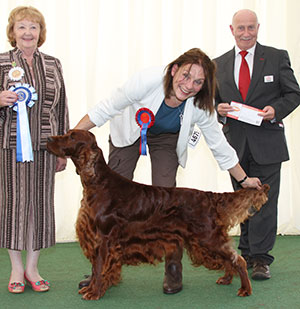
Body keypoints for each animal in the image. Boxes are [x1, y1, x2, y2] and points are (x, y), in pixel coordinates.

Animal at [47, 129, 270, 300]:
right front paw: (91, 288)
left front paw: (94, 293)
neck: (99, 183)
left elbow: (100, 268)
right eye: (67, 133)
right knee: (229, 259)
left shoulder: (104, 239)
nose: (48, 138)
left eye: (72, 136)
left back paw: (245, 289)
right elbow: (95, 269)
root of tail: (209, 196)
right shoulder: (95, 239)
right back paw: (226, 279)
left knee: (238, 259)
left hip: (207, 238)